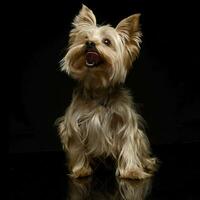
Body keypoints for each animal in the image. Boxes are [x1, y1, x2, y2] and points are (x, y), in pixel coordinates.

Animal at [57, 4, 157, 180]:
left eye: (106, 42)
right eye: (85, 38)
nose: (90, 43)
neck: (98, 87)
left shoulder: (126, 124)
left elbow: (129, 146)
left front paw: (132, 171)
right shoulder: (74, 125)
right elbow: (77, 147)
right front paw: (80, 170)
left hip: (141, 139)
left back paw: (147, 163)